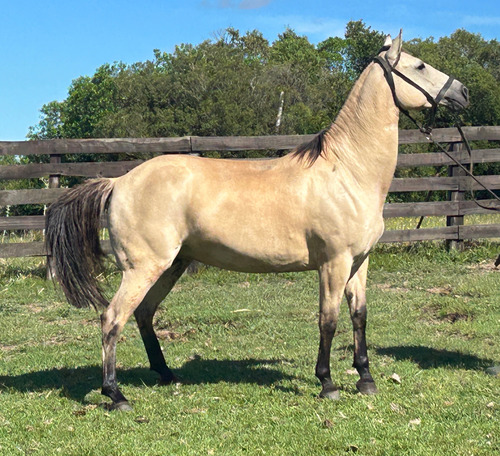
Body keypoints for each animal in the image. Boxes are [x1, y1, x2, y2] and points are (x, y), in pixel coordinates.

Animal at [46, 31, 468, 410]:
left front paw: (365, 379)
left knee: (144, 314)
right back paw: (115, 395)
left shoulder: (359, 262)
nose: (462, 92)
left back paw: (166, 375)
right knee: (112, 318)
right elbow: (328, 320)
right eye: (420, 65)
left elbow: (359, 316)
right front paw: (327, 383)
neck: (346, 170)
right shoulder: (333, 263)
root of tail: (118, 182)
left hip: (170, 265)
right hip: (143, 267)